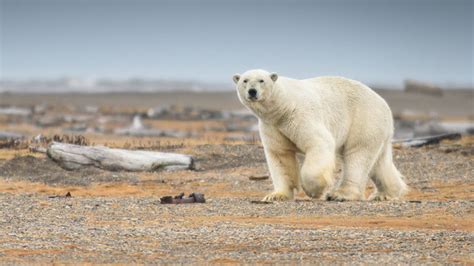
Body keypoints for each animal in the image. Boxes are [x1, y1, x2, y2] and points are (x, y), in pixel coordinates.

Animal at [233, 69, 408, 202]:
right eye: (245, 80)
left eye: (261, 80)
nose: (252, 91)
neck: (282, 107)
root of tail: (385, 106)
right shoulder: (272, 126)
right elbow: (280, 155)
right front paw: (276, 195)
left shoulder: (300, 116)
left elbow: (319, 143)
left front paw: (314, 191)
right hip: (376, 128)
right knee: (379, 162)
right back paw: (385, 194)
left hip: (363, 120)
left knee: (357, 155)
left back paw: (340, 194)